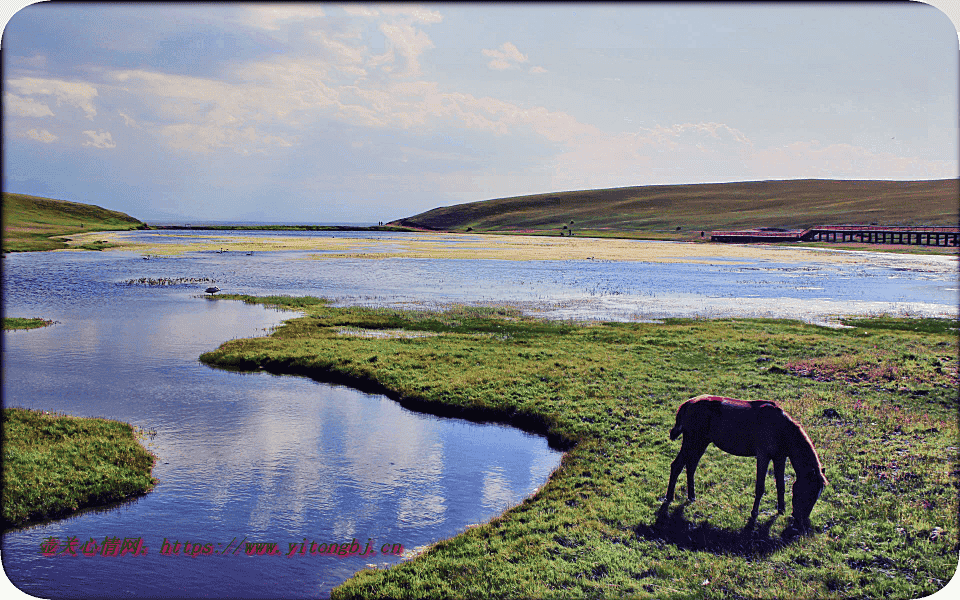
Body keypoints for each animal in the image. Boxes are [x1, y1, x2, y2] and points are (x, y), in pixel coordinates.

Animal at [668, 396, 824, 532]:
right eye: (808, 492)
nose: (800, 522)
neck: (780, 428)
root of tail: (689, 403)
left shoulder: (780, 458)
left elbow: (781, 486)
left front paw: (781, 510)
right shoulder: (763, 457)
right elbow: (760, 487)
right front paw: (754, 514)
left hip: (701, 443)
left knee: (691, 467)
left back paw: (691, 496)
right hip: (692, 442)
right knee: (676, 466)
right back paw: (669, 497)